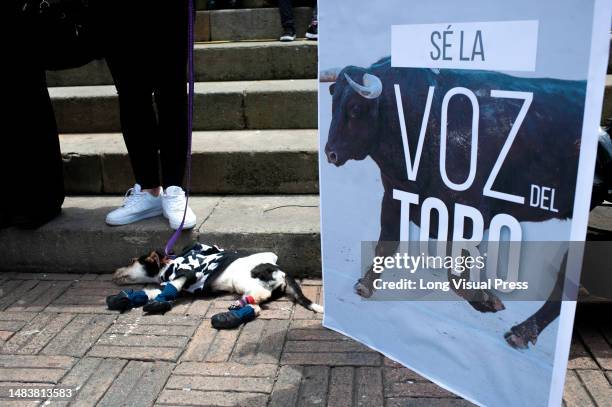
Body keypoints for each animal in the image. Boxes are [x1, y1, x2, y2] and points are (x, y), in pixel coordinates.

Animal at [107, 244, 322, 330]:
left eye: (132, 260)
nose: (114, 273)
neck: (168, 266)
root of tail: (281, 271)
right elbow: (152, 291)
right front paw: (128, 298)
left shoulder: (187, 273)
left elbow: (169, 290)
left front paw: (158, 303)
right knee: (256, 307)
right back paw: (232, 314)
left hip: (246, 280)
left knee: (258, 297)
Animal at [322, 56, 584, 350]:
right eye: (334, 101)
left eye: (355, 108)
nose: (331, 153)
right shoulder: (393, 197)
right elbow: (386, 244)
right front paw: (365, 284)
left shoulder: (469, 215)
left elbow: (457, 275)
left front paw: (487, 300)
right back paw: (521, 332)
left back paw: (522, 331)